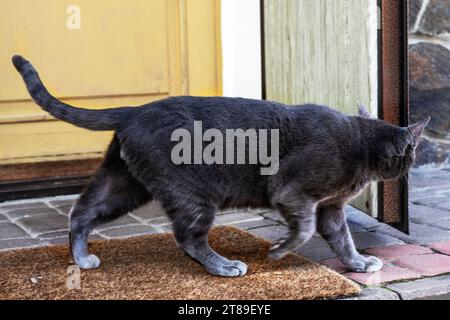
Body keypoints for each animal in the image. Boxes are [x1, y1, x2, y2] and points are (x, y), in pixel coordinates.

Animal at [11, 56, 428, 276]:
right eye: (412, 152)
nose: (413, 163)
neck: (360, 143)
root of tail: (135, 109)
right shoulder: (292, 192)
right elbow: (306, 230)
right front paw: (279, 251)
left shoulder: (330, 206)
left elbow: (342, 237)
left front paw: (357, 262)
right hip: (191, 193)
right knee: (188, 238)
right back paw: (225, 266)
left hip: (124, 182)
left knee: (81, 213)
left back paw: (82, 259)